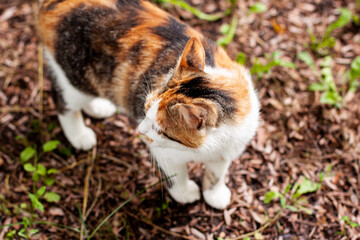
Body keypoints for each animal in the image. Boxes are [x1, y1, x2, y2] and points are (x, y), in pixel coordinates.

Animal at [38, 0, 260, 209]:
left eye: (160, 130)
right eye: (144, 109)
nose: (139, 130)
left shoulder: (229, 148)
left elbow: (217, 173)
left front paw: (215, 194)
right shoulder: (165, 153)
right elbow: (176, 174)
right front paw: (184, 193)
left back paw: (98, 107)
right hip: (76, 77)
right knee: (63, 99)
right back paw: (79, 135)